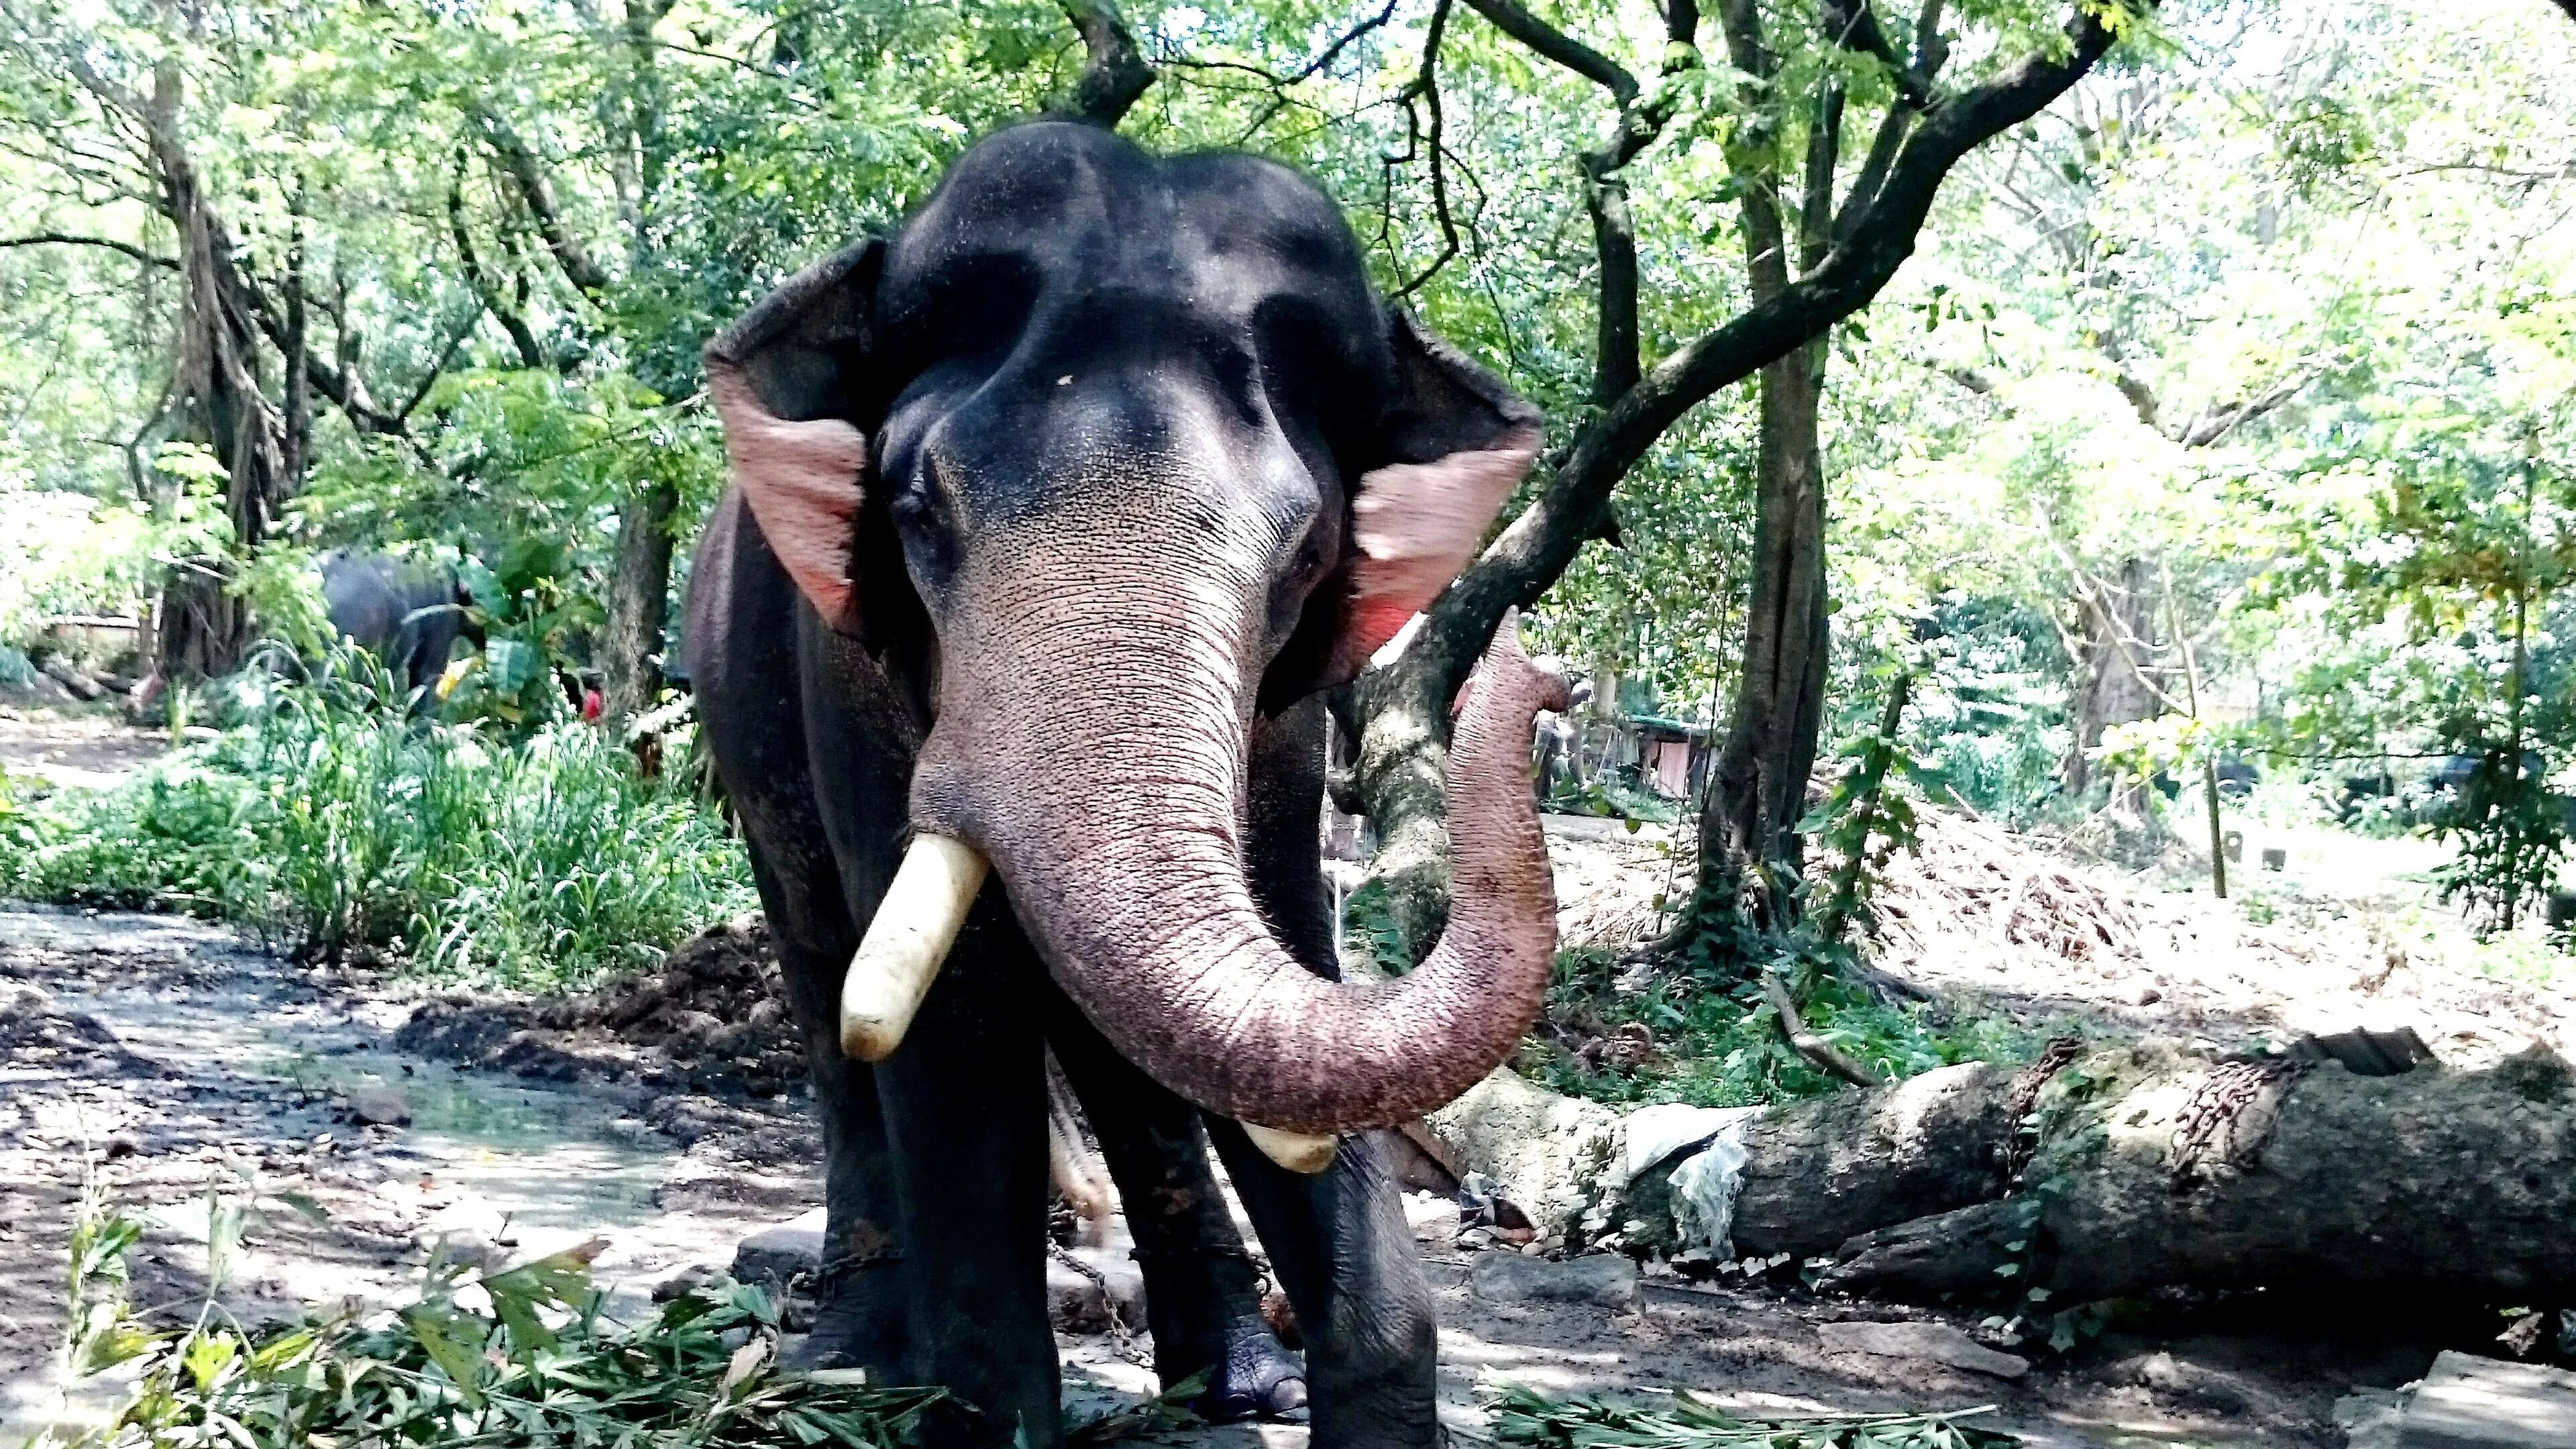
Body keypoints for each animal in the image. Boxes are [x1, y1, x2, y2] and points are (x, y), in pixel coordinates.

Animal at [685, 121, 1567, 1449]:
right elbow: (955, 1015)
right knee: (823, 969)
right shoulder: (849, 672)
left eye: (1309, 554)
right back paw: (854, 1363)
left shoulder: (1284, 716)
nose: (1543, 676)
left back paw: (1240, 1385)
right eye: (914, 511)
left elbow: (1284, 959)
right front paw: (980, 1412)